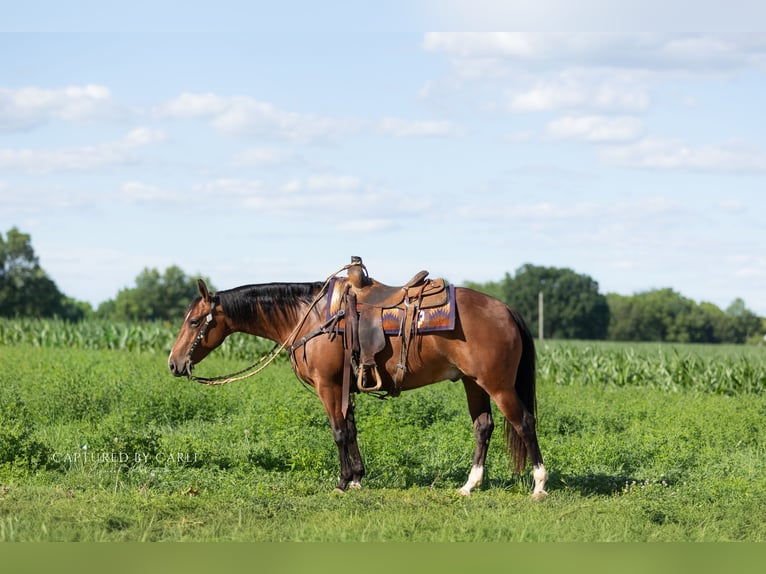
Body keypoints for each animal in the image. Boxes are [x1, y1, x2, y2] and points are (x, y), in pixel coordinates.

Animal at [167, 273, 548, 499]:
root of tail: (507, 310)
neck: (311, 317)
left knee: (524, 423)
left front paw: (341, 483)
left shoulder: (328, 385)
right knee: (483, 426)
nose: (173, 363)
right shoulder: (343, 386)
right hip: (473, 383)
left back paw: (539, 486)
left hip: (498, 385)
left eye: (194, 321)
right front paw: (357, 478)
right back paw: (469, 485)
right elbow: (350, 429)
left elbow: (338, 431)